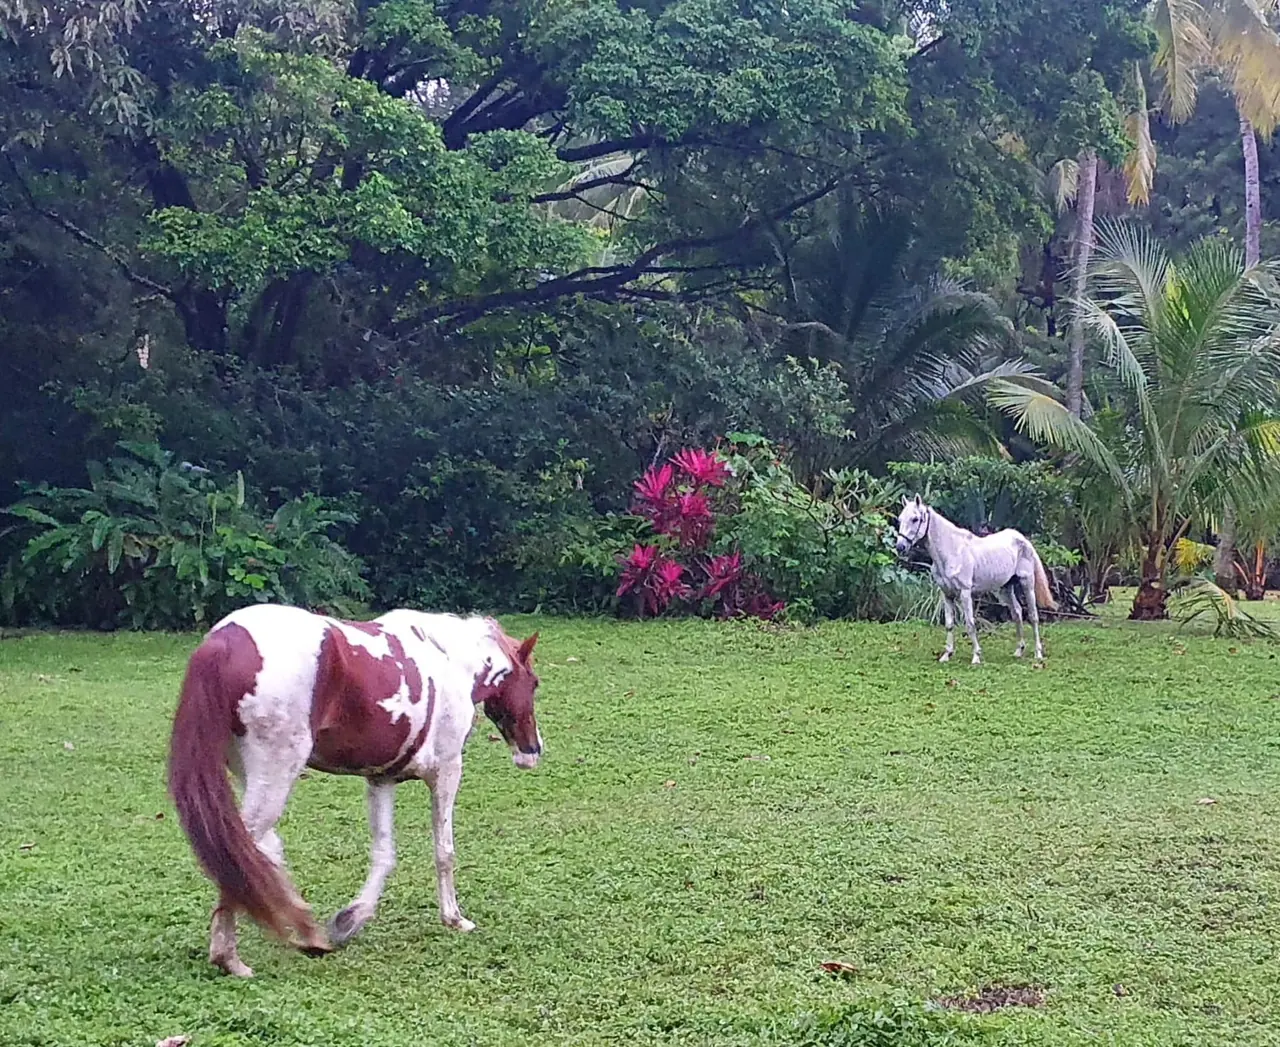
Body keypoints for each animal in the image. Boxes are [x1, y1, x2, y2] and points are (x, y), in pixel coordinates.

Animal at [167, 603, 542, 977]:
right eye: (534, 683)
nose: (533, 751)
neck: (449, 659)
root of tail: (224, 642)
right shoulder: (447, 770)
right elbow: (444, 852)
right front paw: (453, 918)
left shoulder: (382, 780)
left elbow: (384, 854)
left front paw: (350, 919)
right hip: (275, 775)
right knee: (238, 851)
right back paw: (229, 955)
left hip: (254, 778)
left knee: (260, 851)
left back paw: (303, 929)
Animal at [894, 494, 1057, 665]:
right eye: (900, 519)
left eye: (915, 519)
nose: (900, 547)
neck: (952, 551)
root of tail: (1022, 539)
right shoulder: (947, 594)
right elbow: (949, 624)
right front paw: (947, 654)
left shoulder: (965, 593)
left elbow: (970, 623)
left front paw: (976, 656)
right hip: (1005, 588)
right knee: (1017, 612)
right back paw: (1019, 650)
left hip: (1027, 584)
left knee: (1033, 616)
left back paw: (1038, 653)